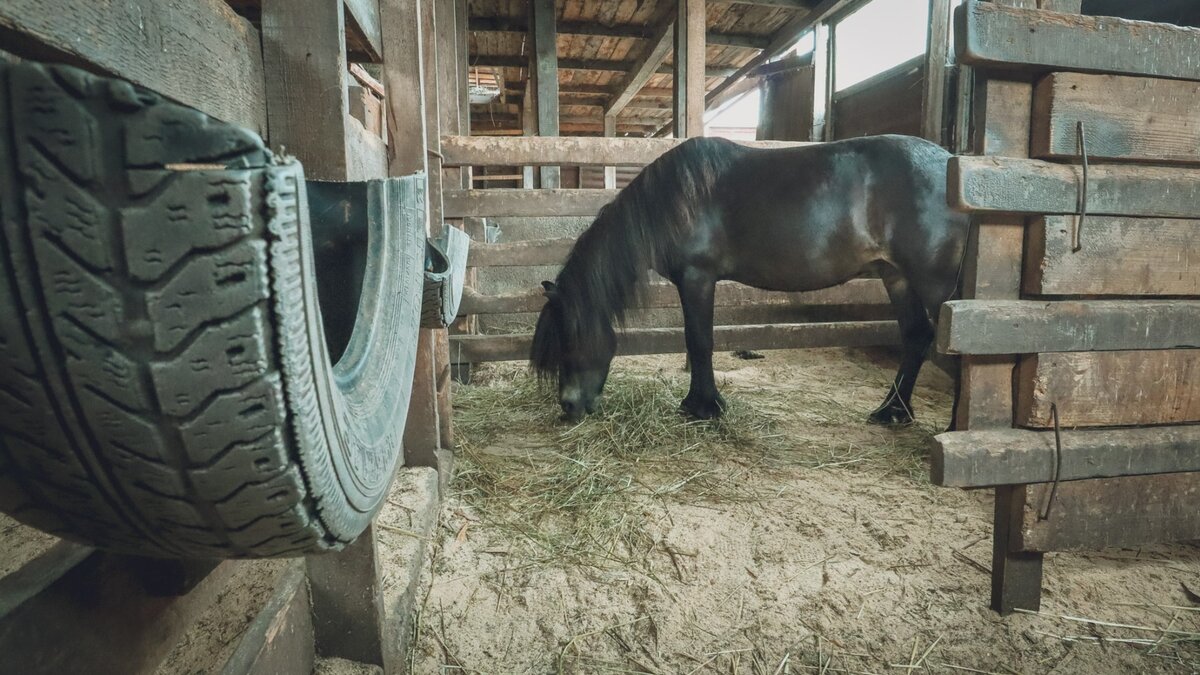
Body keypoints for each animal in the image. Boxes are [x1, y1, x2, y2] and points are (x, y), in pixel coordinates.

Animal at [530, 133, 969, 422]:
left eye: (568, 340)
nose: (569, 406)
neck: (673, 201)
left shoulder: (697, 278)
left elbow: (699, 341)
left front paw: (703, 406)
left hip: (934, 285)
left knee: (958, 348)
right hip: (897, 278)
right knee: (916, 337)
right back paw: (892, 411)